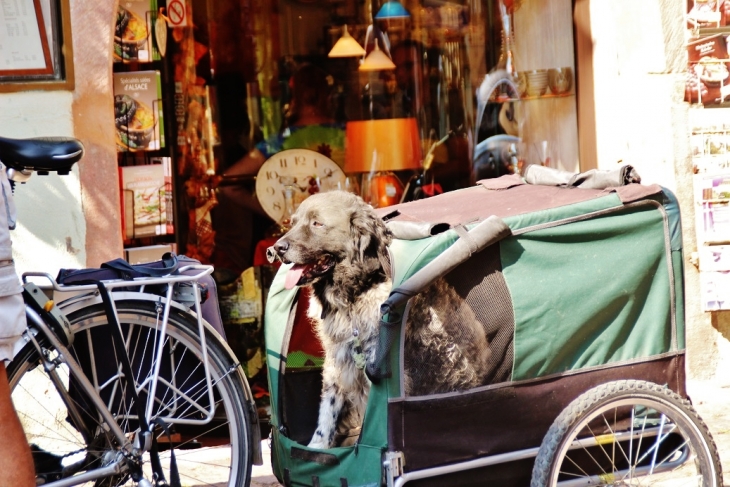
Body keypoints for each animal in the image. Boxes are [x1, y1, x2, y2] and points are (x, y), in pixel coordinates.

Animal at [272, 191, 490, 450]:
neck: (353, 299)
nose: (277, 248)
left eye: (317, 223)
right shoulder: (338, 361)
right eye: (293, 223)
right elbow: (327, 414)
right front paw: (317, 449)